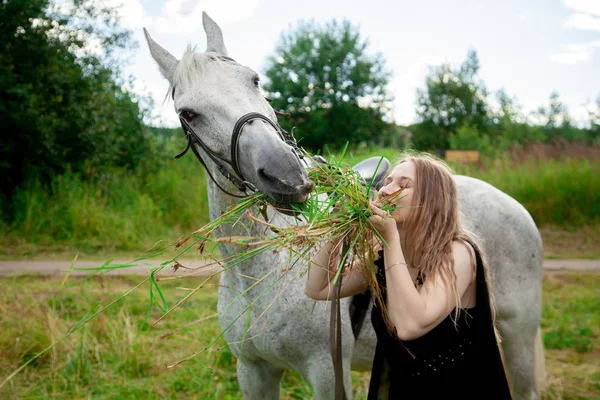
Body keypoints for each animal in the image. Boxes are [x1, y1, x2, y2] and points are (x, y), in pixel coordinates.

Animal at [143, 12, 548, 400]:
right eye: (188, 113)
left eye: (254, 80)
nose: (286, 176)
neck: (258, 276)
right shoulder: (253, 372)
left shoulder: (326, 371)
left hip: (517, 335)